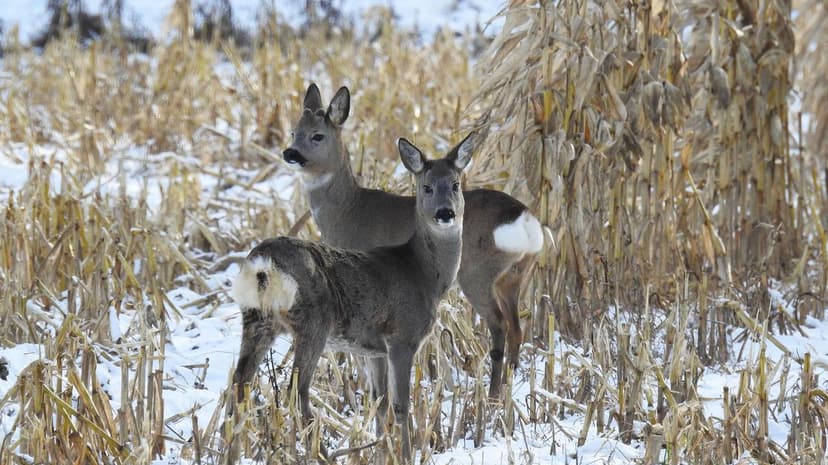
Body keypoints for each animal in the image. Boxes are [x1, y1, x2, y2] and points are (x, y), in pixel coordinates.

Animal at [230, 134, 475, 463]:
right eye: (426, 187)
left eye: (455, 184)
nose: (445, 213)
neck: (423, 273)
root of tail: (263, 263)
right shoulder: (402, 337)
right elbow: (400, 405)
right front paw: (405, 454)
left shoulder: (375, 349)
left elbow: (379, 402)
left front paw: (381, 450)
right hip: (313, 322)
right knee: (297, 391)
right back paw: (322, 453)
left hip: (257, 318)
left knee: (240, 382)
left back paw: (229, 450)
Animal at [282, 84, 543, 398]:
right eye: (293, 132)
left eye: (317, 135)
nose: (290, 153)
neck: (349, 211)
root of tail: (524, 218)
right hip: (514, 277)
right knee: (517, 328)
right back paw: (509, 389)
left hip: (477, 274)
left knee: (499, 326)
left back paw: (493, 397)